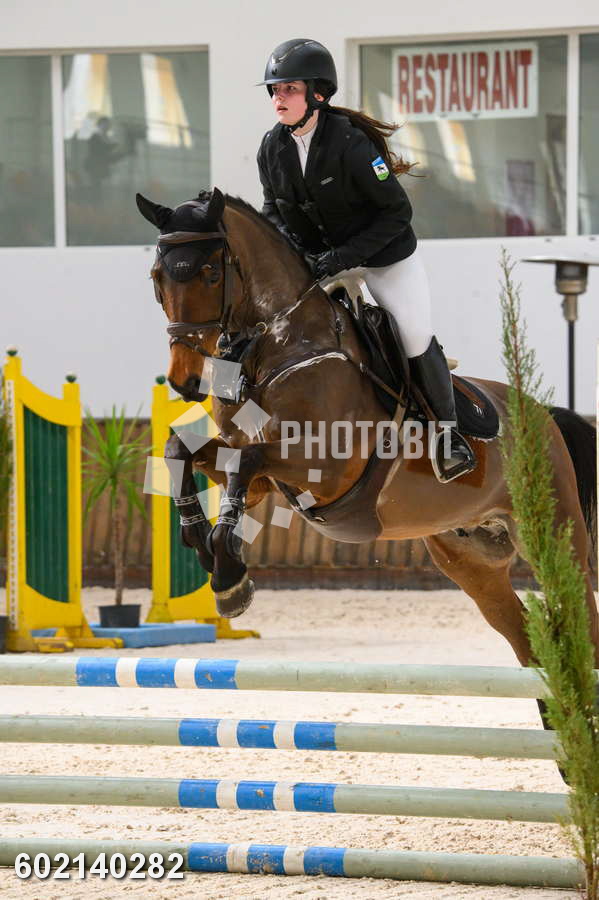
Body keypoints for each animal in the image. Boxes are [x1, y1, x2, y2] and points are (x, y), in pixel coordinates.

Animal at [137, 187, 599, 686]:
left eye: (210, 273)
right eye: (157, 278)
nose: (183, 381)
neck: (280, 347)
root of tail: (545, 415)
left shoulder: (326, 469)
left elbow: (246, 461)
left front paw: (227, 571)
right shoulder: (259, 482)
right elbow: (184, 451)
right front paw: (205, 546)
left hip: (555, 536)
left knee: (582, 620)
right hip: (472, 557)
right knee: (525, 639)